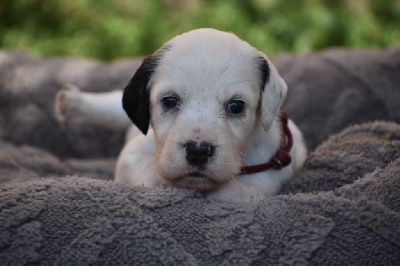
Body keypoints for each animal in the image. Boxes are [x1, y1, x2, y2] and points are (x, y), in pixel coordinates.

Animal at [55, 28, 306, 202]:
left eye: (236, 106)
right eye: (169, 101)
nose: (198, 151)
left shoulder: (266, 178)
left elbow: (251, 193)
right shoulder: (134, 155)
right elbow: (155, 175)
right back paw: (74, 103)